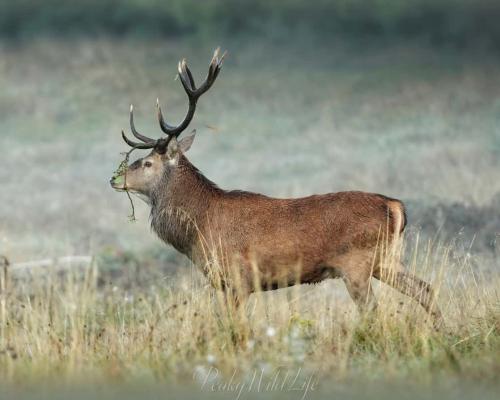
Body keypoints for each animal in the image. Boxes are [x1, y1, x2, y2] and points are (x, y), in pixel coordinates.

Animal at [109, 48, 442, 326]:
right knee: (426, 289)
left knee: (374, 307)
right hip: (386, 260)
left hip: (357, 262)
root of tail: (395, 206)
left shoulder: (239, 278)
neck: (198, 228)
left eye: (147, 162)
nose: (114, 179)